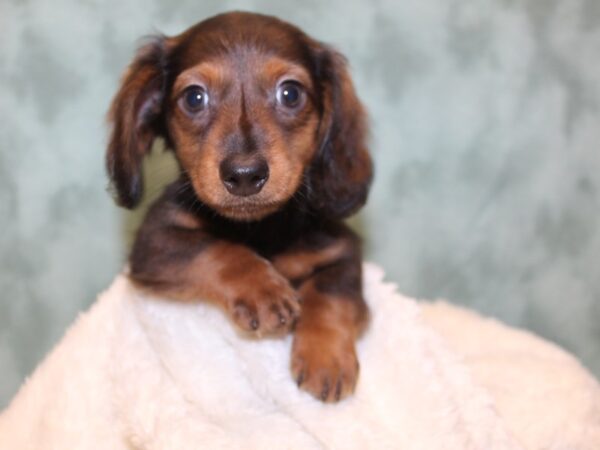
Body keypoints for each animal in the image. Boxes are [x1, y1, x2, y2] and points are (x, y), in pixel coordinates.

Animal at [105, 10, 372, 402]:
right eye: (194, 98)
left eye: (290, 93)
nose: (245, 175)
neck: (260, 229)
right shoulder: (153, 242)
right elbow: (217, 249)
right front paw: (264, 291)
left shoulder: (341, 249)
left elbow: (331, 292)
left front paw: (326, 357)